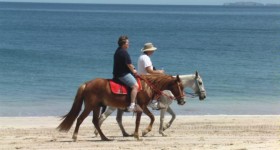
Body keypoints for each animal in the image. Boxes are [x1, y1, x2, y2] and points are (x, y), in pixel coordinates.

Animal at [57, 74, 185, 141]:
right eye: (181, 86)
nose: (183, 101)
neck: (147, 86)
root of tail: (87, 84)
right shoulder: (142, 106)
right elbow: (149, 118)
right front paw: (142, 133)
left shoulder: (142, 107)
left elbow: (145, 119)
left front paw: (139, 133)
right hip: (90, 106)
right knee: (80, 119)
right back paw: (75, 136)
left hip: (96, 107)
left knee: (96, 121)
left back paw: (104, 137)